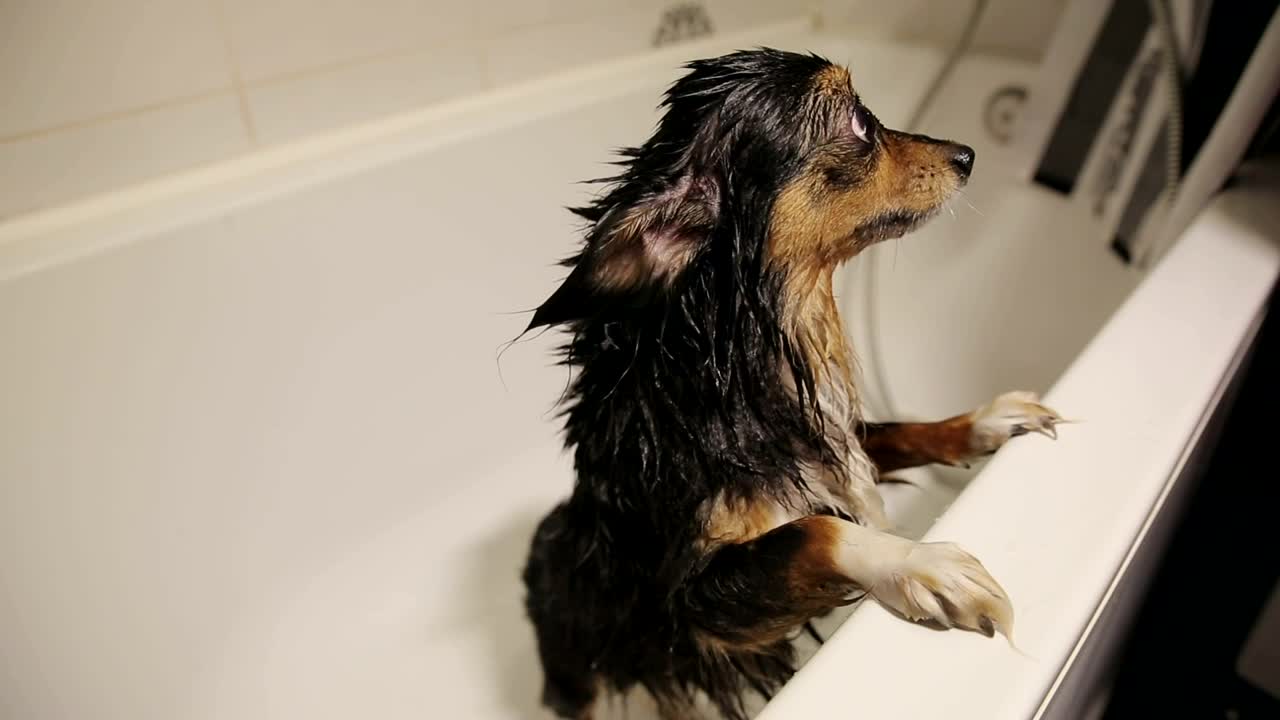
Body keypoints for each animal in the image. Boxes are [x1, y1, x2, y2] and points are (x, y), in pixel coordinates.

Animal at [519, 47, 1059, 712]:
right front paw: (921, 564)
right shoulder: (693, 613)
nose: (968, 154)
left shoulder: (830, 440)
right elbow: (815, 530)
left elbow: (898, 431)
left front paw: (987, 420)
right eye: (859, 123)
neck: (739, 358)